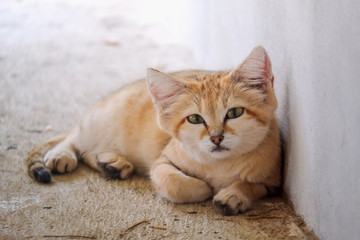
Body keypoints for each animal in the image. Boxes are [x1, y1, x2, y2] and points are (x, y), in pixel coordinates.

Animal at [27, 46, 282, 215]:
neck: (220, 165)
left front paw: (234, 194)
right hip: (101, 119)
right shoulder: (162, 161)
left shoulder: (272, 181)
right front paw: (204, 188)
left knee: (90, 151)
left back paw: (110, 163)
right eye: (195, 119)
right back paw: (63, 154)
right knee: (75, 138)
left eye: (235, 113)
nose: (216, 138)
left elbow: (250, 184)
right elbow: (176, 182)